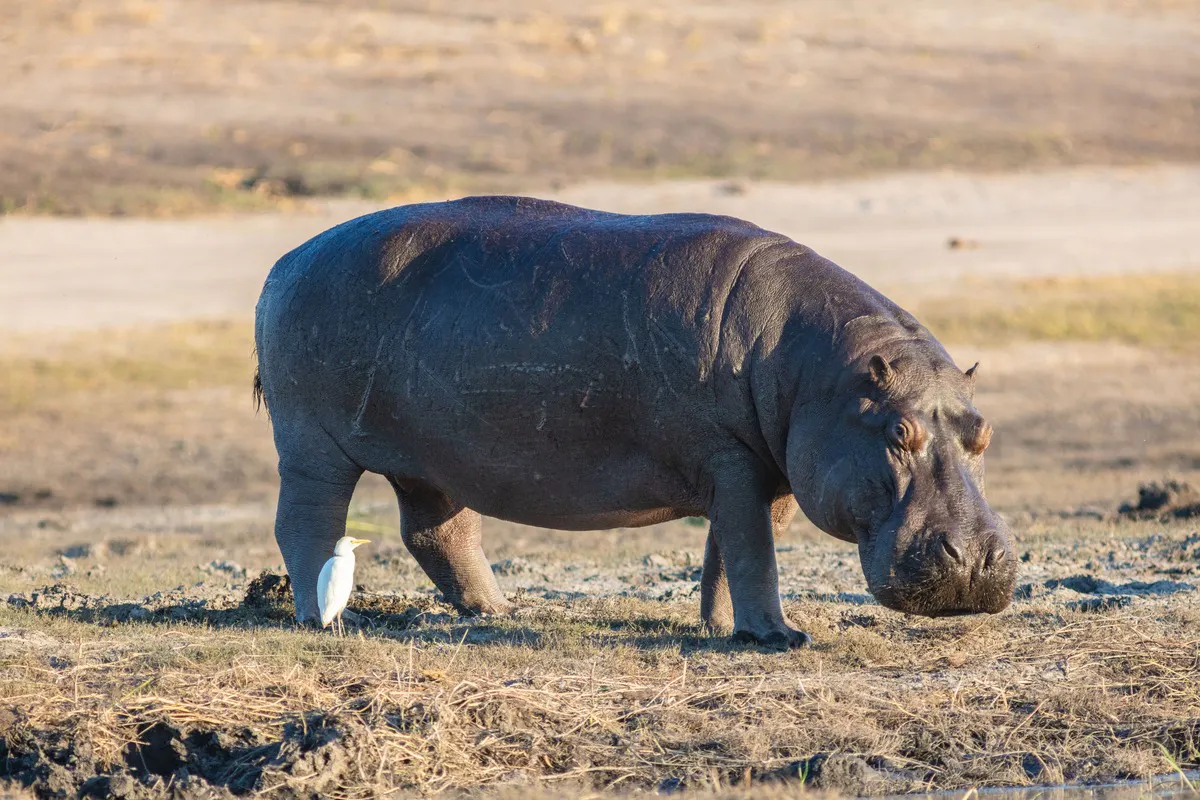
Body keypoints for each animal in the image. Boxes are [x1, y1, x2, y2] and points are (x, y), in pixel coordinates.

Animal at [253, 196, 1017, 648]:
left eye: (983, 432)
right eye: (898, 434)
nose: (976, 563)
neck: (823, 374)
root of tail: (285, 262)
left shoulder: (768, 468)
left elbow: (734, 551)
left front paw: (727, 626)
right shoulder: (734, 460)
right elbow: (750, 549)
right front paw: (778, 637)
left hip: (433, 458)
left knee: (436, 531)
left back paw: (499, 611)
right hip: (311, 444)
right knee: (305, 522)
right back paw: (325, 618)